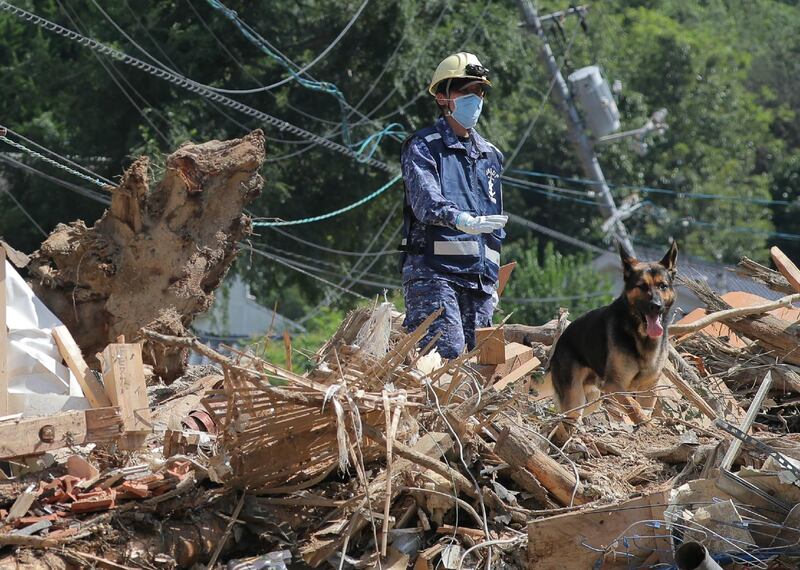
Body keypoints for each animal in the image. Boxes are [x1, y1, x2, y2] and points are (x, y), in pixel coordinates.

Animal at [552, 240, 676, 422]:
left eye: (663, 286)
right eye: (642, 286)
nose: (657, 306)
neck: (640, 334)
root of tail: (561, 340)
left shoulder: (648, 388)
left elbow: (643, 408)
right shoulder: (614, 385)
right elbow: (634, 406)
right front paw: (644, 423)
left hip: (591, 400)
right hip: (575, 398)